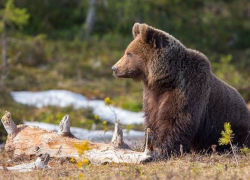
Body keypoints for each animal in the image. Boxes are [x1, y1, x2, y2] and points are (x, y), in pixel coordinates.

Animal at [112, 22, 250, 155]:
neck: (166, 79)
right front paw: (151, 143)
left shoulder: (187, 89)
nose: (114, 68)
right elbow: (151, 119)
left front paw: (164, 148)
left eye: (129, 53)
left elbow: (176, 119)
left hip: (233, 126)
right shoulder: (152, 95)